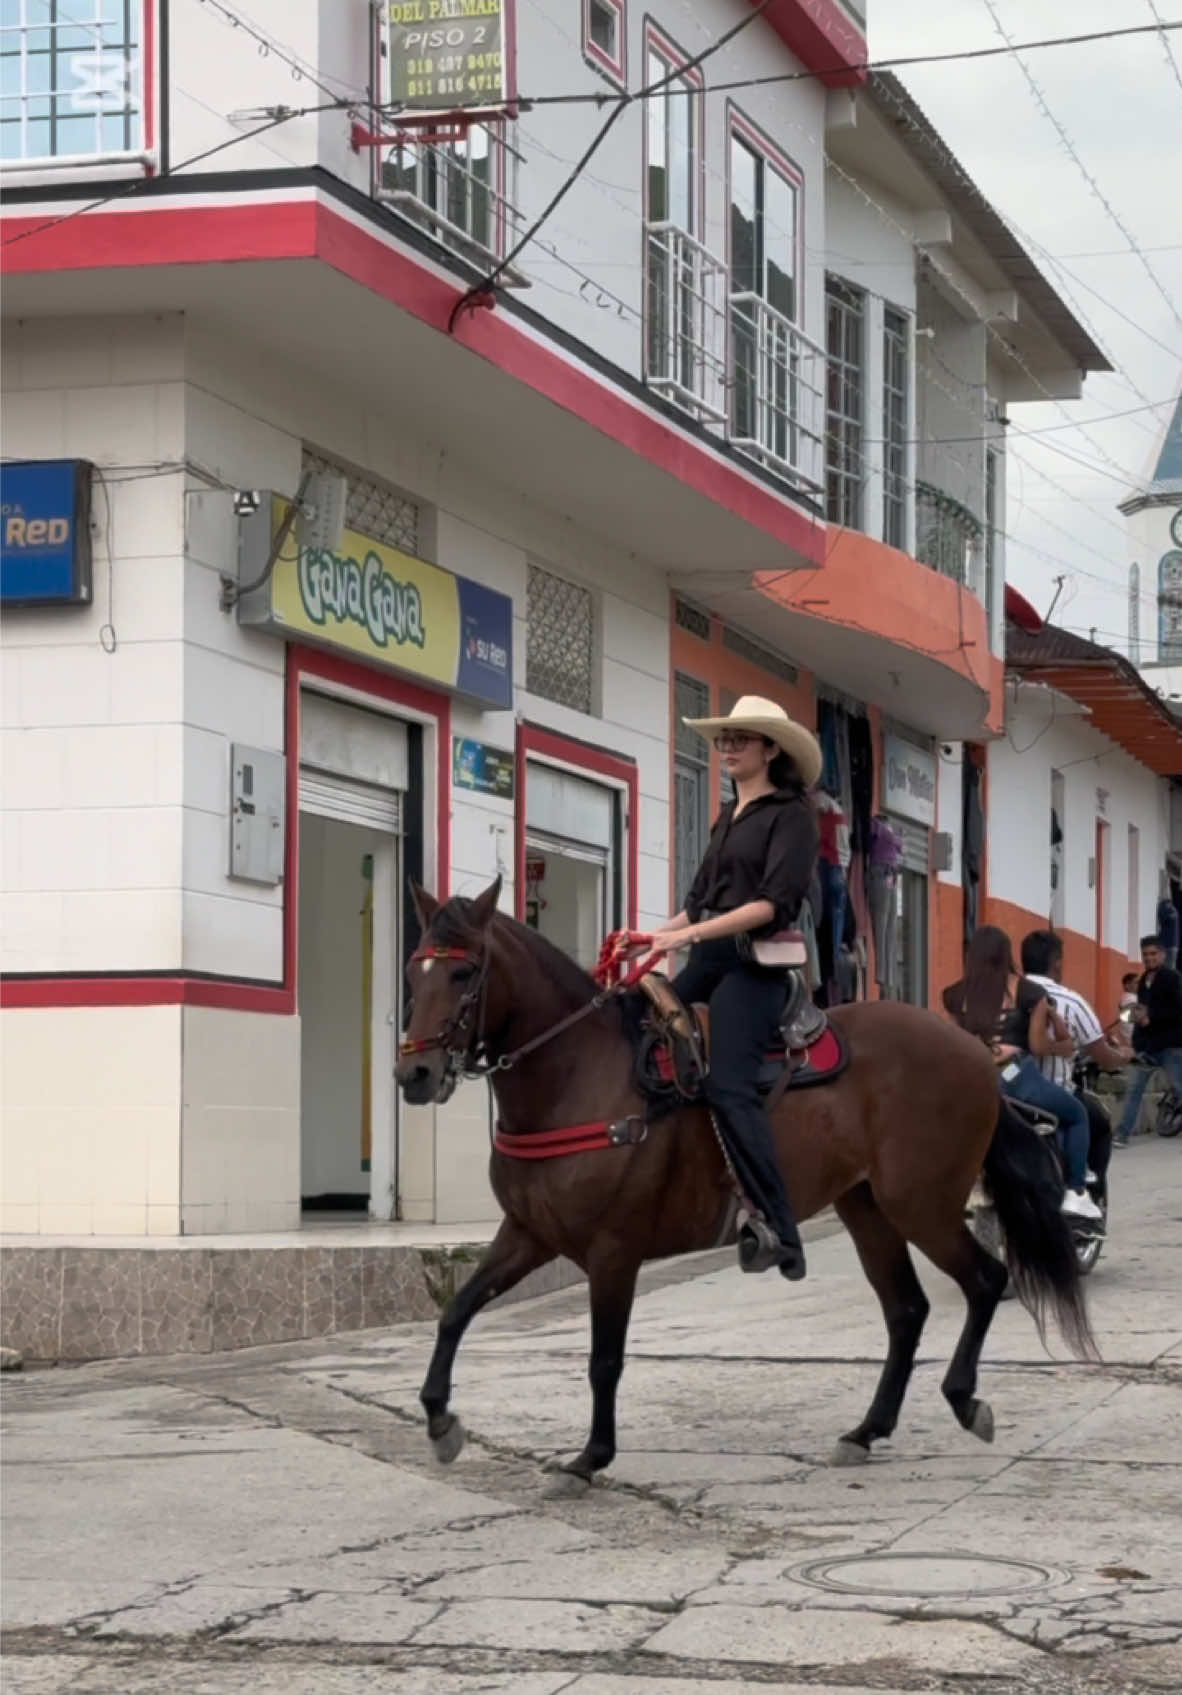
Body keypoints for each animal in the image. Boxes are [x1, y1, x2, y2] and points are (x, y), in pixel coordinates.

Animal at [393, 881, 1085, 1491]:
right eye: (412, 971)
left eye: (464, 973)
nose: (414, 1074)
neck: (575, 1076)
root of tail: (975, 1055)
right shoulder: (529, 1234)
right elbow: (455, 1312)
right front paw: (439, 1420)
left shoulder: (613, 1251)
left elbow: (604, 1359)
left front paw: (589, 1458)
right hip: (866, 1207)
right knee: (907, 1308)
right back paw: (867, 1430)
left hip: (923, 1205)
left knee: (986, 1280)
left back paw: (964, 1401)